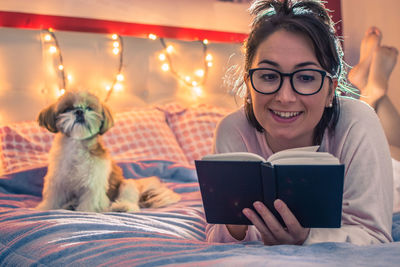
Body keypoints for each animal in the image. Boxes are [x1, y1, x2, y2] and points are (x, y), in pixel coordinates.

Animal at [34, 91, 181, 213]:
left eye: (89, 108)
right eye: (68, 109)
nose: (79, 111)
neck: (77, 144)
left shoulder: (94, 182)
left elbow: (90, 202)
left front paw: (84, 212)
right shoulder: (57, 180)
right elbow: (53, 198)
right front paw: (44, 208)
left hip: (127, 184)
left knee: (129, 199)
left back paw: (122, 206)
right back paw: (70, 205)